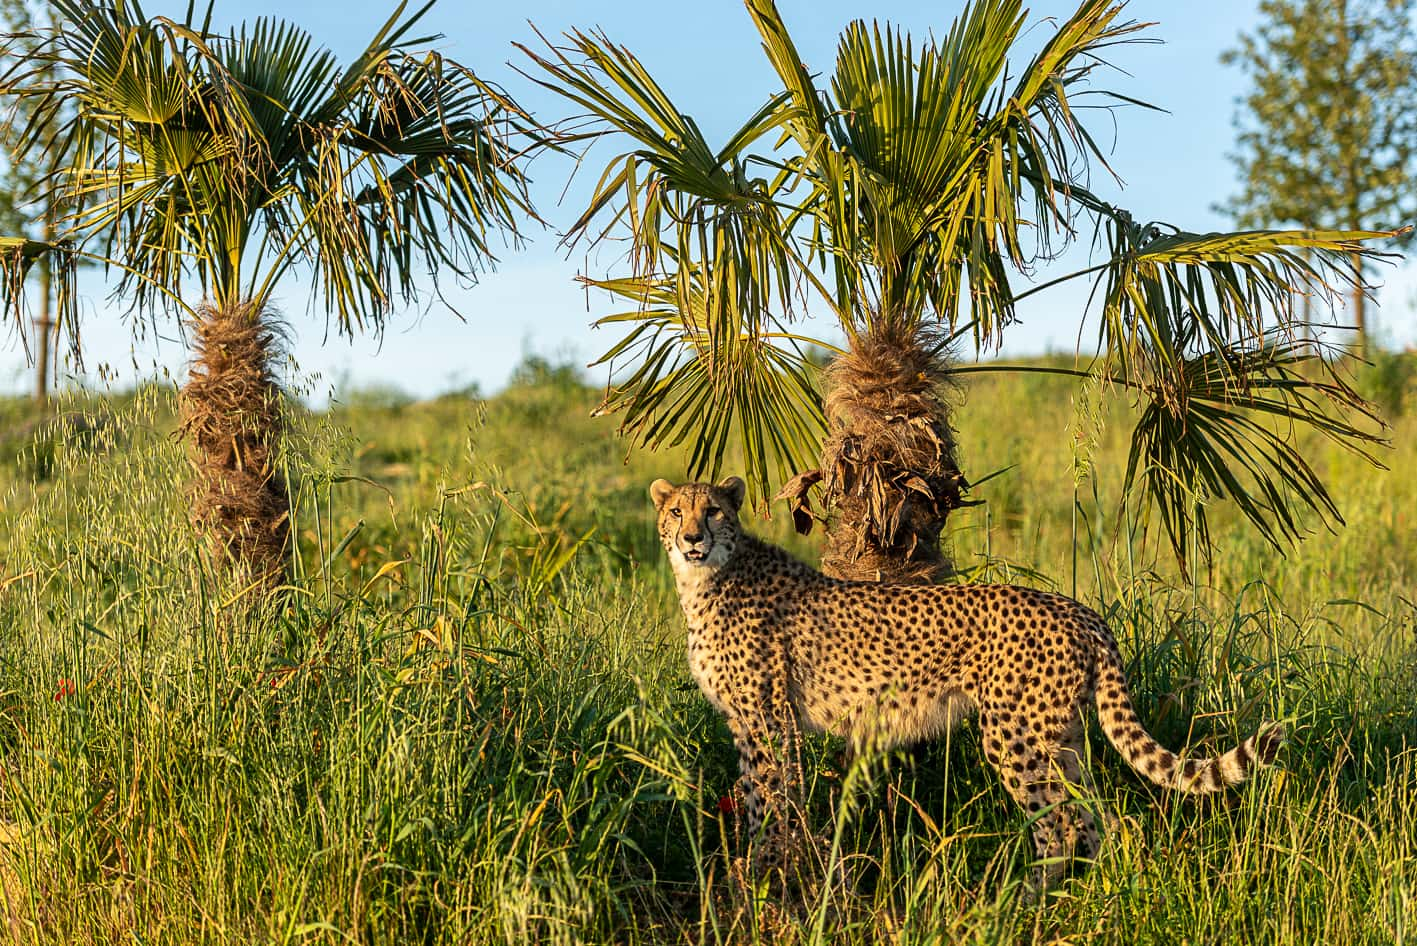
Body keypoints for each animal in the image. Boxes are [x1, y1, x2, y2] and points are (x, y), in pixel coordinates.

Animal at [651, 475, 1286, 889]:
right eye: (676, 512)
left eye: (713, 511)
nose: (692, 538)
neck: (708, 578)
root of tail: (1080, 609)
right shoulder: (750, 723)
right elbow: (761, 793)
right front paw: (763, 873)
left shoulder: (768, 720)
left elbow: (770, 797)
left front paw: (766, 875)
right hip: (1065, 739)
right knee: (1096, 818)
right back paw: (1089, 901)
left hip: (1015, 736)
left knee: (1058, 826)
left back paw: (1026, 904)